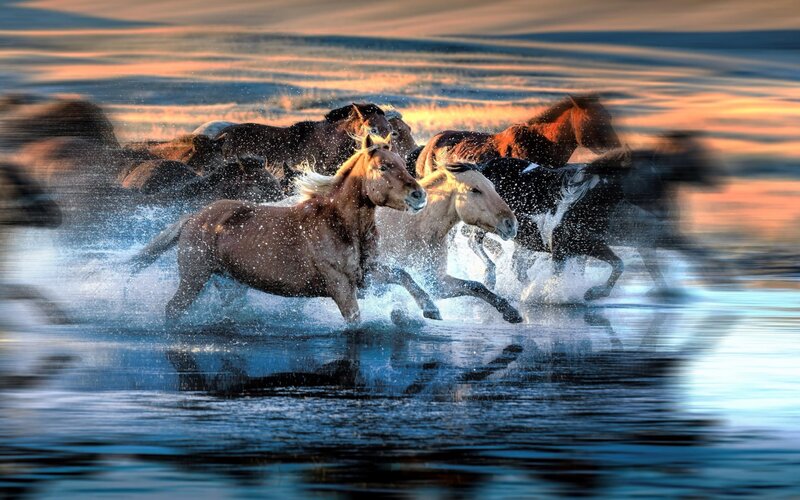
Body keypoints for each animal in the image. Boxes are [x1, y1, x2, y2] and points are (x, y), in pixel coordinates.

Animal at [129, 133, 441, 325]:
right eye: (383, 167)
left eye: (402, 163)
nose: (419, 195)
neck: (341, 225)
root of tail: (193, 217)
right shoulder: (340, 285)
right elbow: (355, 320)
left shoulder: (366, 275)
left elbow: (403, 275)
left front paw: (432, 310)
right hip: (194, 279)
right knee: (173, 308)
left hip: (229, 285)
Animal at [376, 162, 523, 323]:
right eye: (475, 189)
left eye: (493, 187)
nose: (511, 224)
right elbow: (401, 274)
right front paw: (430, 308)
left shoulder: (435, 281)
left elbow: (475, 286)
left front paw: (510, 311)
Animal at [475, 132, 722, 300]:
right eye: (647, 179)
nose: (665, 214)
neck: (584, 201)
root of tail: (483, 165)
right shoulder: (566, 248)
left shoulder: (591, 244)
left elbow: (619, 264)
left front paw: (592, 293)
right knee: (476, 244)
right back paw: (490, 276)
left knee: (516, 264)